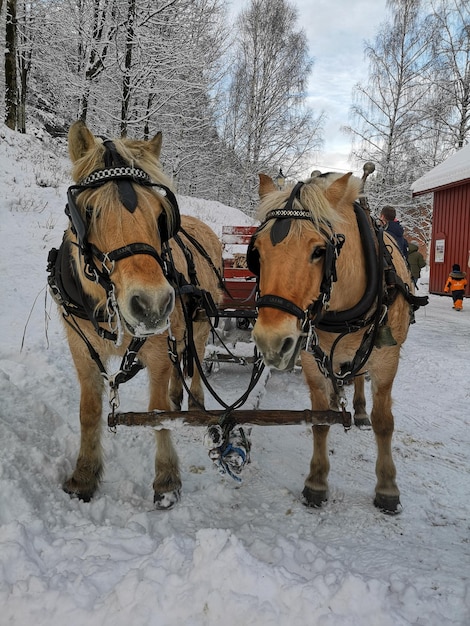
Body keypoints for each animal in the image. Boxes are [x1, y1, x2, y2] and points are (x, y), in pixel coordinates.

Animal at [49, 122, 222, 508]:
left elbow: (156, 414)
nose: (152, 304)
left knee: (196, 359)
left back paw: (195, 402)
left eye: (160, 215)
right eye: (90, 212)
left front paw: (166, 480)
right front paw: (84, 476)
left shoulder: (157, 350)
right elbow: (89, 411)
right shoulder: (81, 349)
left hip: (199, 325)